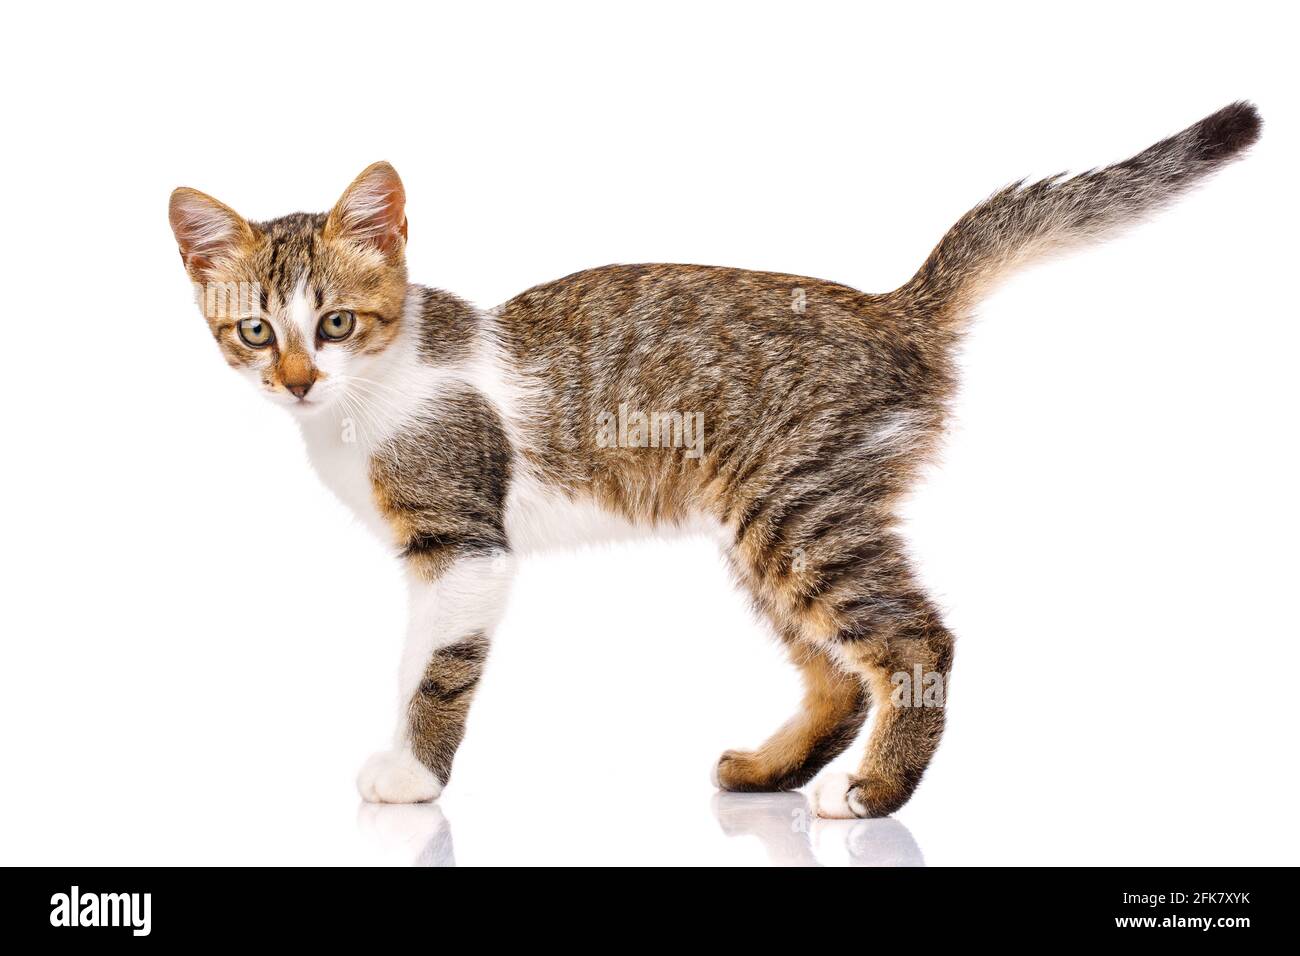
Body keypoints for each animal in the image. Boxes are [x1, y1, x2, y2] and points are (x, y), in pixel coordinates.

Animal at [170, 104, 1258, 822]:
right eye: (256, 330)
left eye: (337, 324)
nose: (298, 381)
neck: (369, 396)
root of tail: (895, 308)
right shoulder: (434, 558)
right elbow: (409, 659)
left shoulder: (463, 544)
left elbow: (435, 668)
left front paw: (413, 777)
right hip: (764, 525)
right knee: (838, 678)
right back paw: (771, 771)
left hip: (800, 511)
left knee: (916, 642)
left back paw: (873, 788)